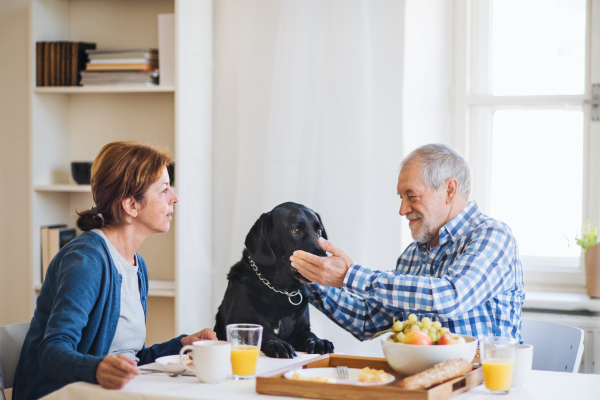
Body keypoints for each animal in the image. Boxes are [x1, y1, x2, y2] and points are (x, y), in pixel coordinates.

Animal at [214, 202, 338, 358]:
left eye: (319, 231)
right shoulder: (237, 322)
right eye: (295, 230)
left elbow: (309, 334)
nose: (325, 261)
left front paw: (318, 341)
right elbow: (263, 333)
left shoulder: (300, 330)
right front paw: (278, 344)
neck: (280, 290)